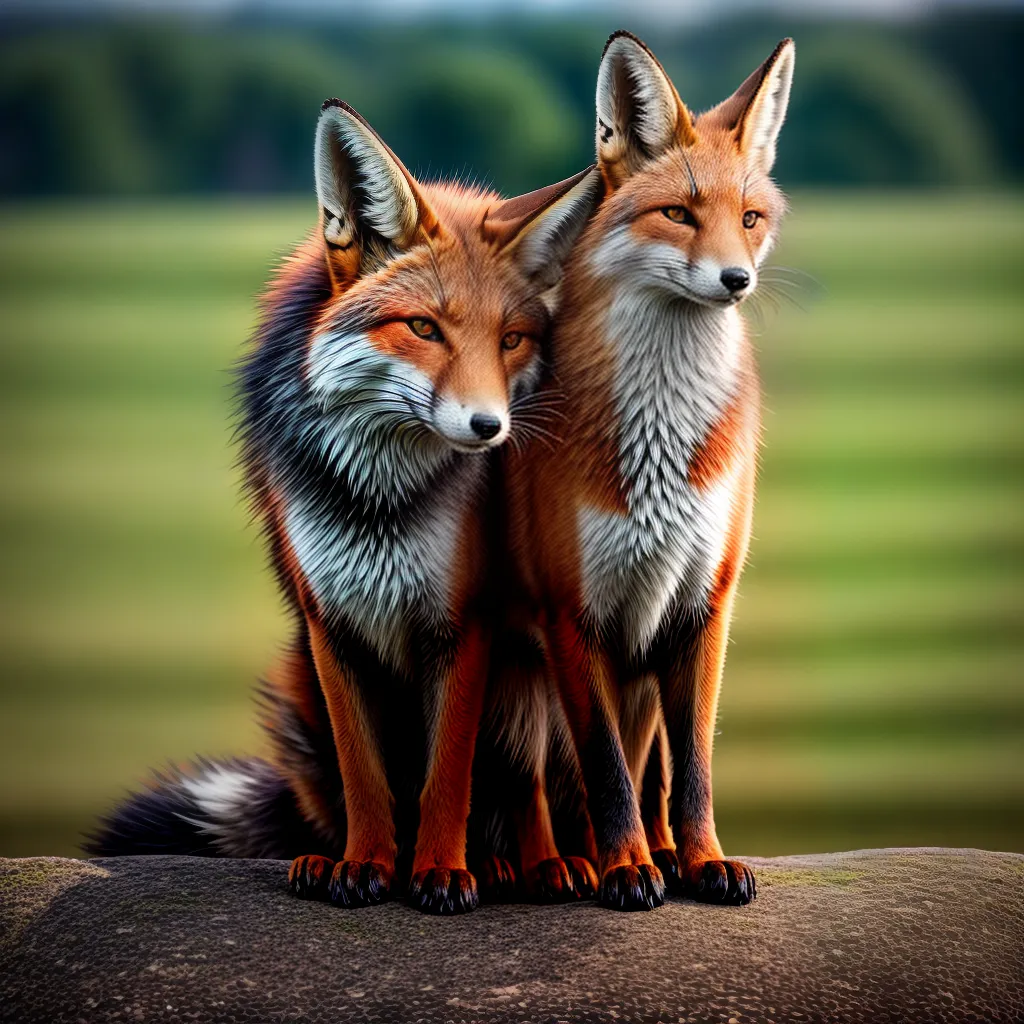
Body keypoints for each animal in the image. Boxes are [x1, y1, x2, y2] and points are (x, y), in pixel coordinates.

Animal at [87, 98, 601, 915]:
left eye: (512, 340)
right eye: (423, 328)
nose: (489, 428)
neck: (378, 507)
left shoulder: (463, 621)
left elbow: (446, 777)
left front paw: (439, 872)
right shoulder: (331, 623)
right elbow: (369, 779)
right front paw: (365, 866)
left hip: (538, 671)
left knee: (531, 790)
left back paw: (539, 866)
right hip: (301, 685)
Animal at [496, 33, 795, 910]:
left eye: (749, 220)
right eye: (679, 214)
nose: (736, 281)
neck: (662, 439)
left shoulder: (704, 605)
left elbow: (688, 772)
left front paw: (698, 860)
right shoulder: (573, 613)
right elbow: (607, 774)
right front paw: (625, 867)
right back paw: (549, 866)